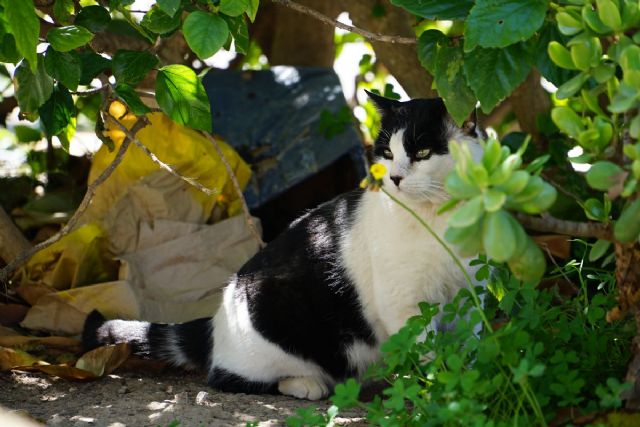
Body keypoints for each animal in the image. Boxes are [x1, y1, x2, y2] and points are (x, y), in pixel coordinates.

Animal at [85, 91, 484, 402]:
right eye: (387, 152)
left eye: (423, 152)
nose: (396, 178)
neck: (439, 219)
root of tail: (215, 320)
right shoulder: (403, 303)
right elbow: (424, 350)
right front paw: (435, 390)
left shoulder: (469, 294)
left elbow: (471, 343)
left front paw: (468, 380)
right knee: (225, 377)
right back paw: (307, 383)